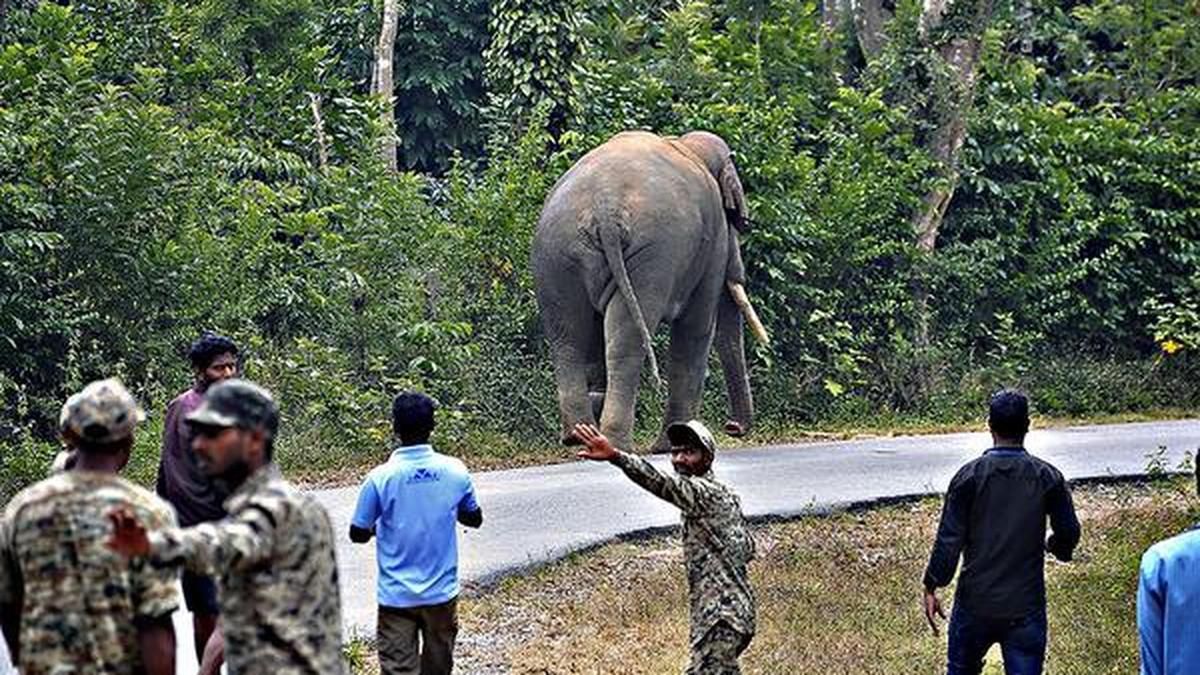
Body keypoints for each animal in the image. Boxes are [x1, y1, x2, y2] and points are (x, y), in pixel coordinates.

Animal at [532, 130, 769, 453]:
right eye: (734, 218)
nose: (731, 427)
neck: (687, 144)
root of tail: (605, 206)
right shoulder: (715, 239)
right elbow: (696, 328)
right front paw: (670, 445)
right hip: (653, 255)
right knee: (626, 339)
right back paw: (616, 443)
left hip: (557, 253)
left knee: (567, 337)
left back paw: (578, 436)